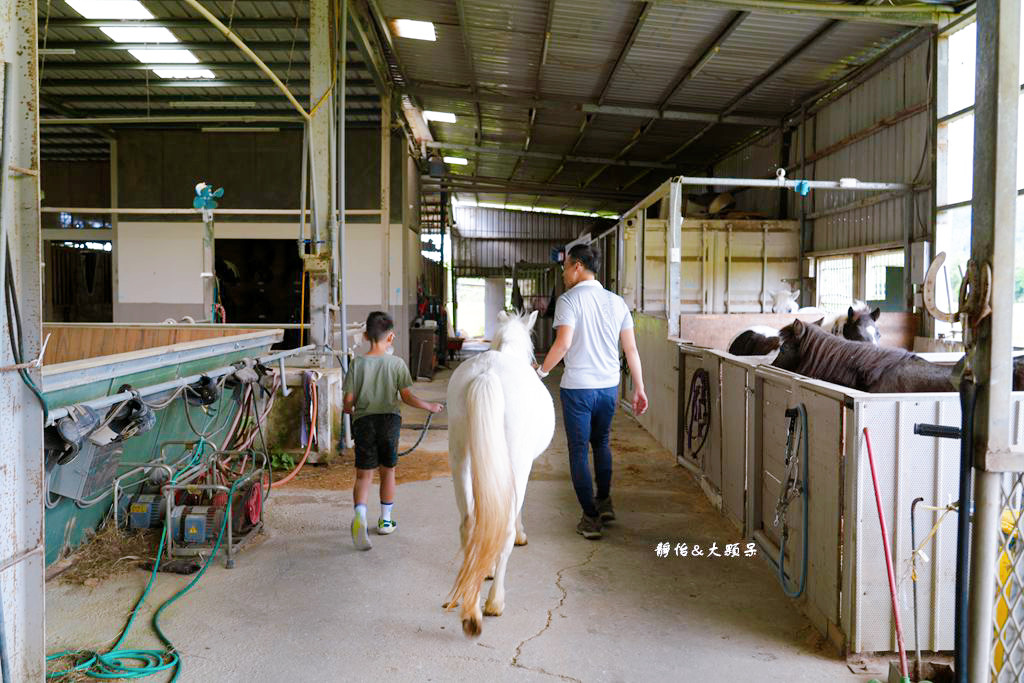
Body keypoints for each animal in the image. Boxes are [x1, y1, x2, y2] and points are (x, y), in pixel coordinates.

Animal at [446, 309, 557, 634]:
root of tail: (487, 373)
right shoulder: (523, 467)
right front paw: (520, 535)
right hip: (516, 463)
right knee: (503, 529)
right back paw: (495, 602)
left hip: (460, 457)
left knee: (468, 523)